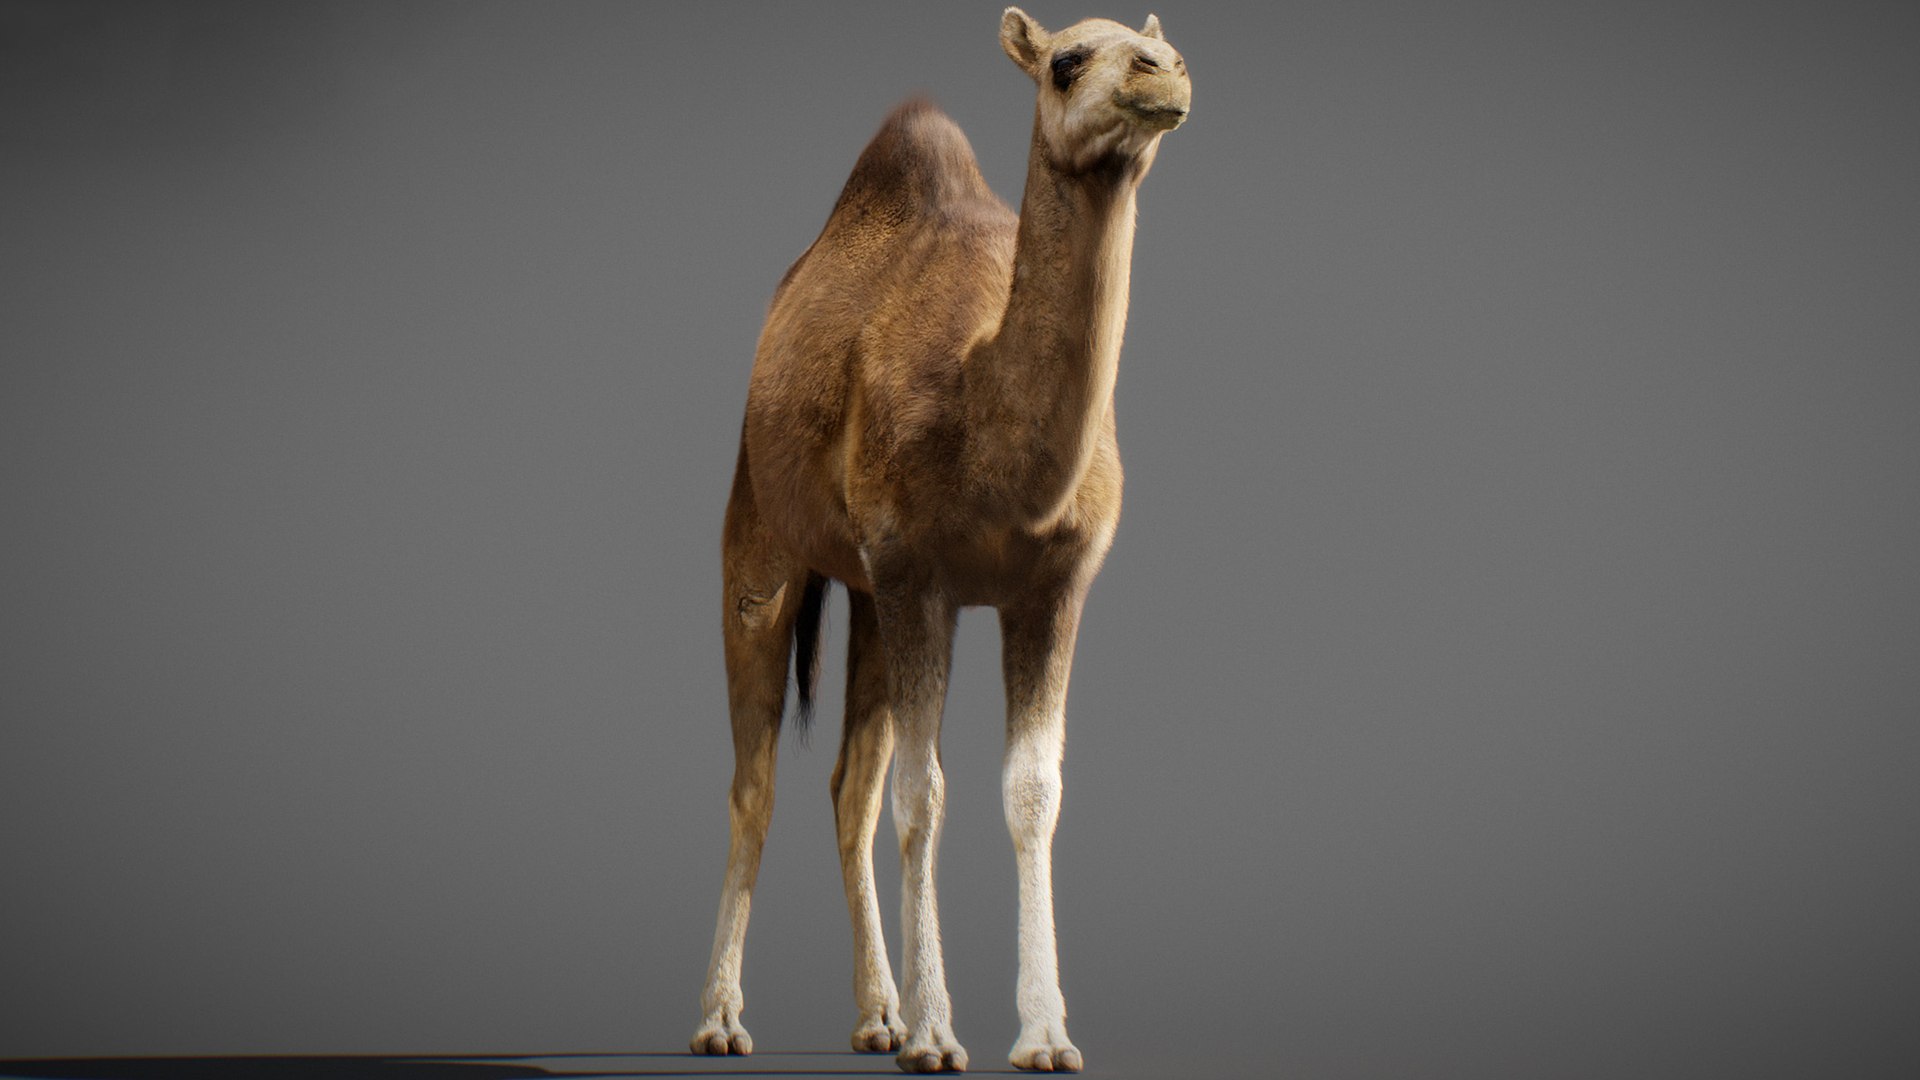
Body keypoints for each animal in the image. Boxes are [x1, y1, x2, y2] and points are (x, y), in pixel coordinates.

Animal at [691, 8, 1189, 1074]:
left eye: (1161, 47)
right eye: (1066, 61)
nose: (1163, 72)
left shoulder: (1052, 586)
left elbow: (1031, 790)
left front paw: (1042, 1035)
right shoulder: (918, 572)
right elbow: (926, 793)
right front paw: (936, 1035)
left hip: (870, 595)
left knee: (849, 784)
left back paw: (874, 1015)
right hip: (760, 527)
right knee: (755, 778)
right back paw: (722, 1020)